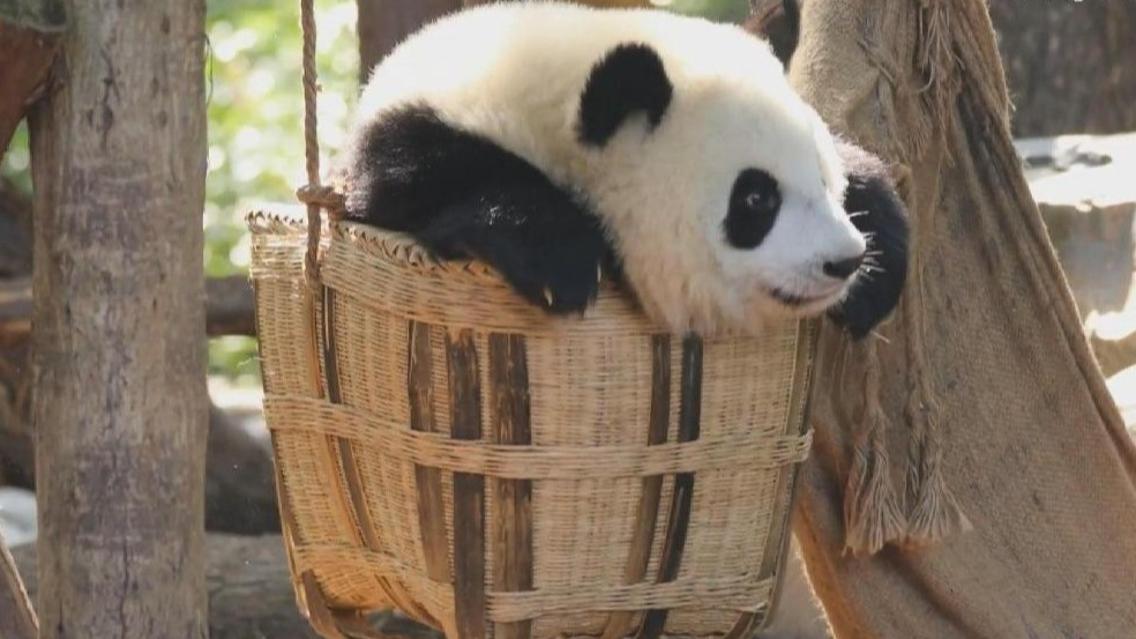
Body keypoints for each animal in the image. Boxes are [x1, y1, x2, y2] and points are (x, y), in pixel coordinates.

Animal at [335, 1, 907, 339]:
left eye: (826, 180)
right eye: (757, 199)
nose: (845, 261)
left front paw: (880, 269)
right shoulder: (413, 143)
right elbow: (423, 185)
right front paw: (560, 264)